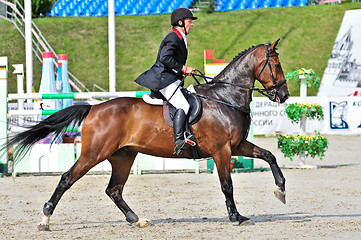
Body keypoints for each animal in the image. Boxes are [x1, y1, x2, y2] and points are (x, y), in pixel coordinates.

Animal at [6, 38, 290, 230]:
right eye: (276, 64)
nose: (284, 95)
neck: (225, 98)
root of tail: (94, 108)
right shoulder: (222, 150)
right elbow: (227, 185)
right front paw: (236, 217)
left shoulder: (237, 145)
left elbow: (270, 155)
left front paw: (281, 191)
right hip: (94, 153)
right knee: (67, 178)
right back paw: (45, 219)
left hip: (123, 156)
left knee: (114, 189)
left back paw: (136, 219)